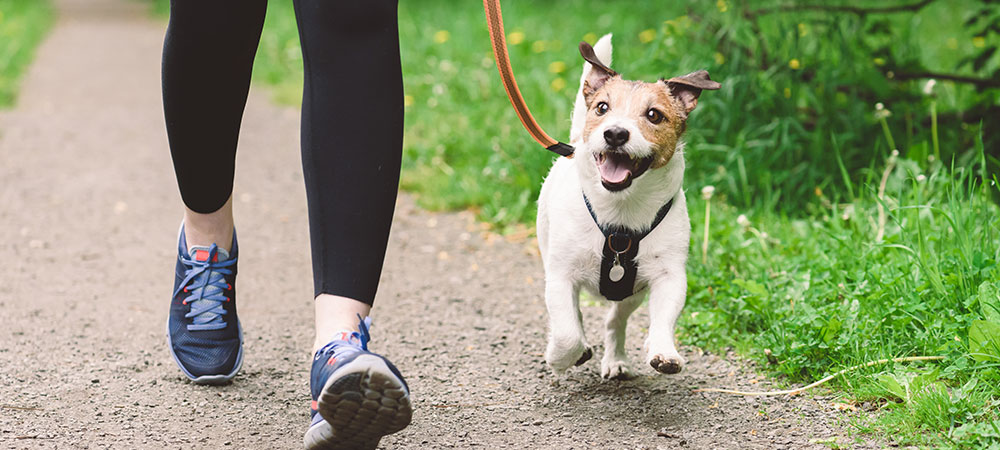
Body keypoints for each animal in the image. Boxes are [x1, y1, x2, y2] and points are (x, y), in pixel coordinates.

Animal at [540, 35, 720, 380]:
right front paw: (560, 357)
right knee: (575, 317)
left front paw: (664, 351)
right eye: (602, 108)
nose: (615, 133)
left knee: (615, 321)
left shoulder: (669, 275)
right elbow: (567, 331)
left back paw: (616, 359)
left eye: (654, 115)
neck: (620, 213)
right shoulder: (560, 275)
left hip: (630, 294)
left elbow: (664, 317)